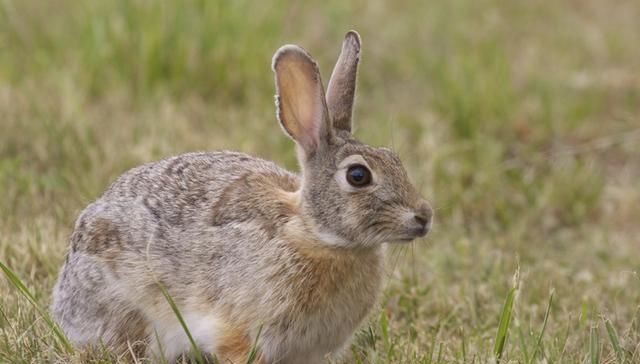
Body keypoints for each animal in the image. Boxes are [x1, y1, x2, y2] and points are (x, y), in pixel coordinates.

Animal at [52, 31, 436, 364]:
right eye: (358, 176)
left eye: (394, 158)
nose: (424, 216)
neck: (315, 234)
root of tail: (63, 300)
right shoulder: (239, 332)